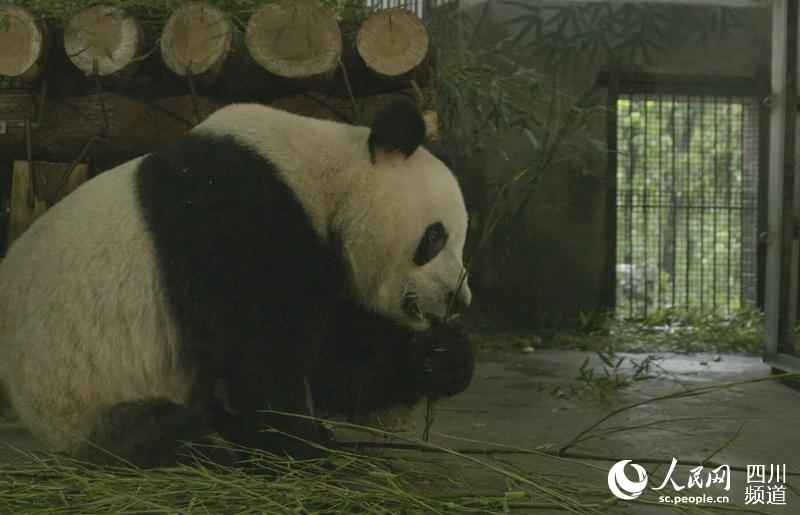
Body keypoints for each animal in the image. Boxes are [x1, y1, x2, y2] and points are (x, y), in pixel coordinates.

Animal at [0, 100, 474, 467]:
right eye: (435, 237)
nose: (458, 299)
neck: (319, 181)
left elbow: (334, 360)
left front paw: (442, 357)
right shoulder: (236, 221)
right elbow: (262, 351)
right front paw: (304, 449)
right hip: (79, 398)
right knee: (152, 429)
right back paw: (211, 446)